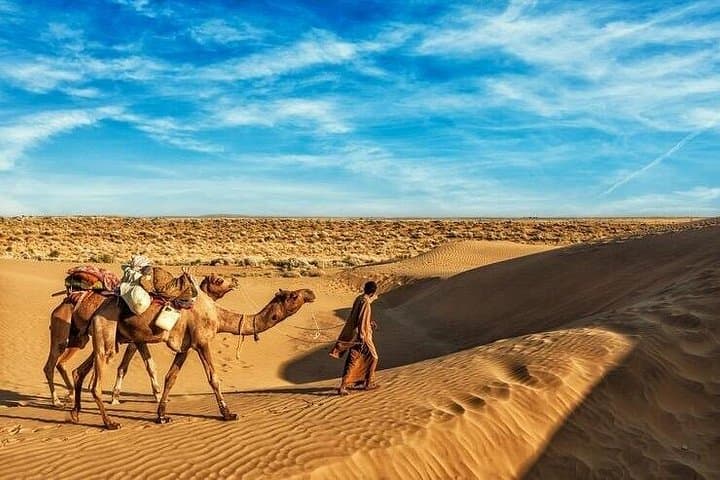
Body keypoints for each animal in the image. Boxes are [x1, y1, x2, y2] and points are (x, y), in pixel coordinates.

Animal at [44, 273, 235, 407]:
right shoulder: (136, 341)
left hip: (78, 339)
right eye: (219, 280)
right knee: (52, 364)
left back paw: (68, 394)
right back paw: (57, 400)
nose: (234, 281)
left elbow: (141, 365)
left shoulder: (136, 341)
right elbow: (131, 367)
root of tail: (61, 305)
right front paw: (118, 397)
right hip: (64, 335)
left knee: (63, 363)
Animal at [70, 284, 316, 429]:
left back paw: (75, 414)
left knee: (79, 370)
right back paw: (110, 423)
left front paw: (162, 416)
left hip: (109, 338)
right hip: (107, 332)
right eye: (294, 295)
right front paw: (228, 414)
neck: (218, 315)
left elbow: (171, 378)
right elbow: (213, 378)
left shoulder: (185, 347)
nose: (311, 293)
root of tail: (93, 309)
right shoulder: (202, 341)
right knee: (96, 383)